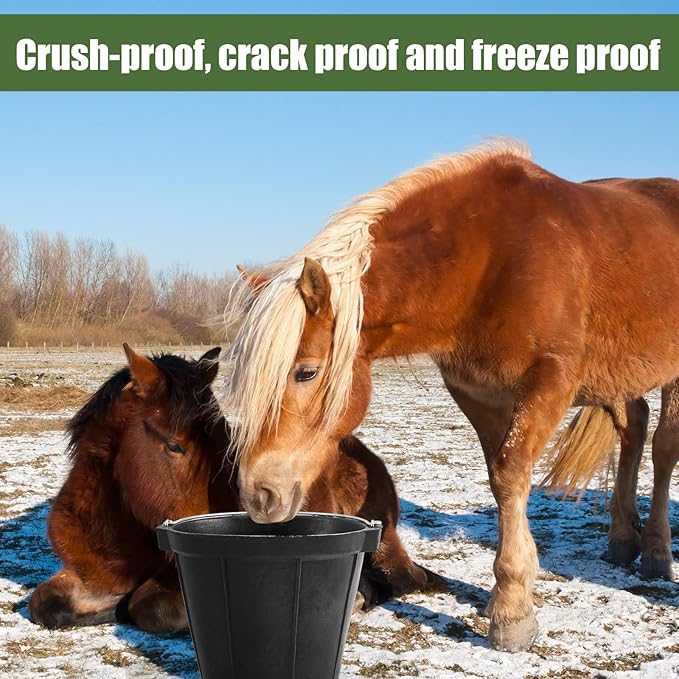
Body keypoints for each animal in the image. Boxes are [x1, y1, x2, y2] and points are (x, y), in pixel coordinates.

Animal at [29, 345, 443, 633]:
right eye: (174, 445)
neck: (117, 534)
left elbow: (150, 607)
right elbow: (43, 603)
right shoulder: (85, 574)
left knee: (404, 578)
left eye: (223, 440)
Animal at [223, 140, 679, 652]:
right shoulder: (479, 394)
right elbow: (502, 479)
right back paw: (622, 540)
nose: (258, 494)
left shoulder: (549, 383)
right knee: (633, 427)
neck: (491, 255)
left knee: (664, 448)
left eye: (306, 372)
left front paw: (512, 610)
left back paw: (656, 552)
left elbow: (511, 473)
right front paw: (510, 593)